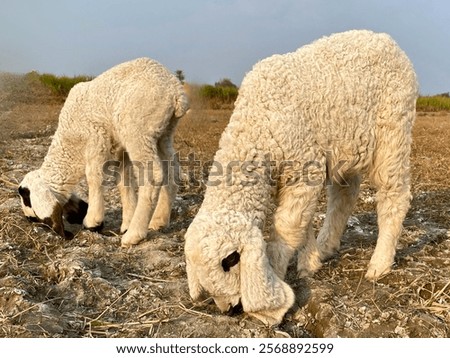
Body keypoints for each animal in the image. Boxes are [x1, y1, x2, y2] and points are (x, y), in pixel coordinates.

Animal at [18, 57, 188, 248]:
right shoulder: (120, 148)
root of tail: (175, 92)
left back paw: (134, 235)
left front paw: (93, 221)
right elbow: (123, 180)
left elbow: (93, 176)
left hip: (136, 129)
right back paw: (158, 221)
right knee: (172, 171)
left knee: (153, 175)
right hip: (163, 133)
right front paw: (126, 221)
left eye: (33, 217)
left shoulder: (96, 138)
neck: (70, 143)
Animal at [184, 30, 418, 326]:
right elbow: (302, 223)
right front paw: (310, 261)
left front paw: (277, 269)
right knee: (345, 194)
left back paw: (379, 264)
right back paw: (327, 245)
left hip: (393, 128)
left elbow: (288, 226)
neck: (257, 124)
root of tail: (384, 38)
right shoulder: (299, 173)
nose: (231, 309)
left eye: (230, 261)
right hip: (347, 142)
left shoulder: (304, 166)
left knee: (394, 194)